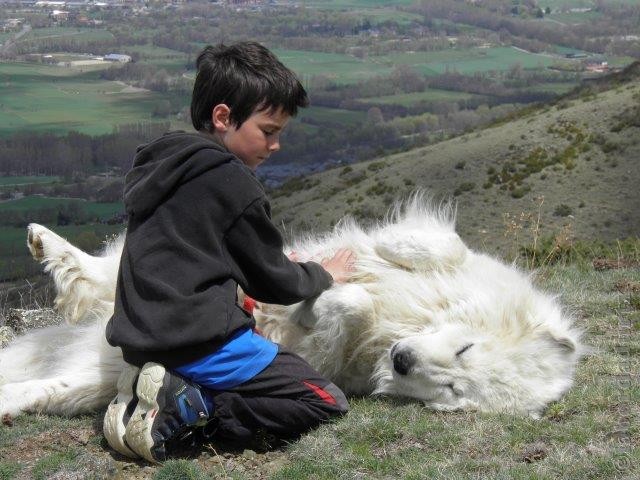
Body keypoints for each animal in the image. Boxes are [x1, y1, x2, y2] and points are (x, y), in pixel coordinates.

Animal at [0, 195, 584, 420]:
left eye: (452, 392)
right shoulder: (447, 256)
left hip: (95, 378)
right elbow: (441, 246)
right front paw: (385, 254)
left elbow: (345, 309)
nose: (402, 362)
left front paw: (326, 303)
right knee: (104, 270)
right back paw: (47, 243)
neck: (402, 322)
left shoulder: (326, 363)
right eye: (464, 349)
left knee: (43, 388)